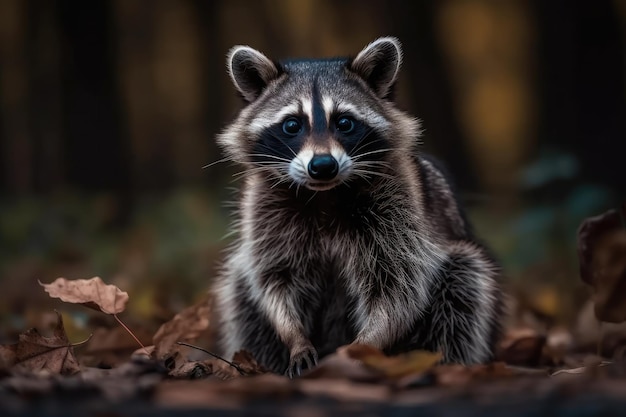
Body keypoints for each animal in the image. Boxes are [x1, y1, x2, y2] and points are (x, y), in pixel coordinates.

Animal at [212, 37, 500, 376]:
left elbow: (398, 286)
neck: (324, 194)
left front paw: (363, 345)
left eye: (345, 122)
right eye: (292, 125)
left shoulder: (399, 207)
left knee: (462, 285)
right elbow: (275, 280)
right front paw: (294, 336)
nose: (323, 166)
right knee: (242, 295)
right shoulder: (265, 208)